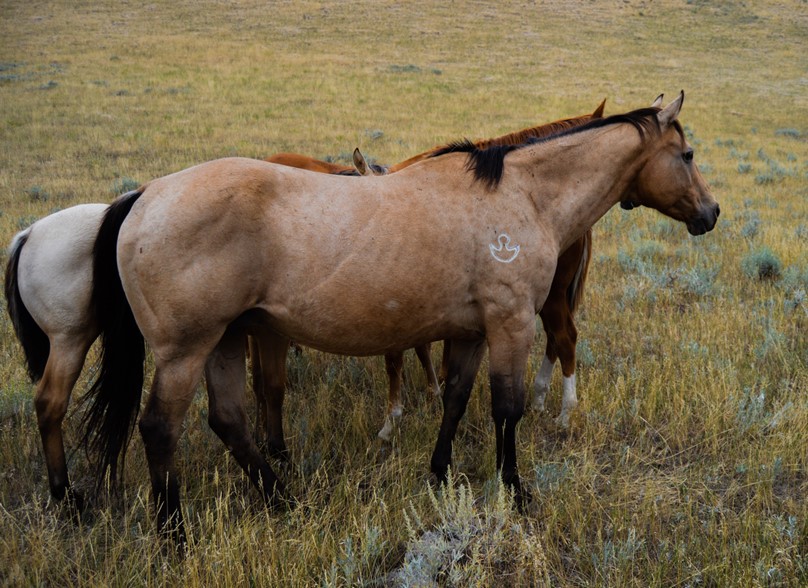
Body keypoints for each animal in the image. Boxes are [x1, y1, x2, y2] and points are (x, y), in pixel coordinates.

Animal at [84, 91, 718, 539]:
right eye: (687, 155)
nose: (711, 213)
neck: (524, 194)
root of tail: (144, 195)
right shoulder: (510, 323)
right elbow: (506, 409)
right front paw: (514, 490)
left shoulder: (472, 332)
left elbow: (456, 399)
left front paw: (438, 475)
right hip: (185, 350)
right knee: (159, 428)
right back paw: (176, 533)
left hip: (224, 339)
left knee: (230, 421)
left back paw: (283, 499)